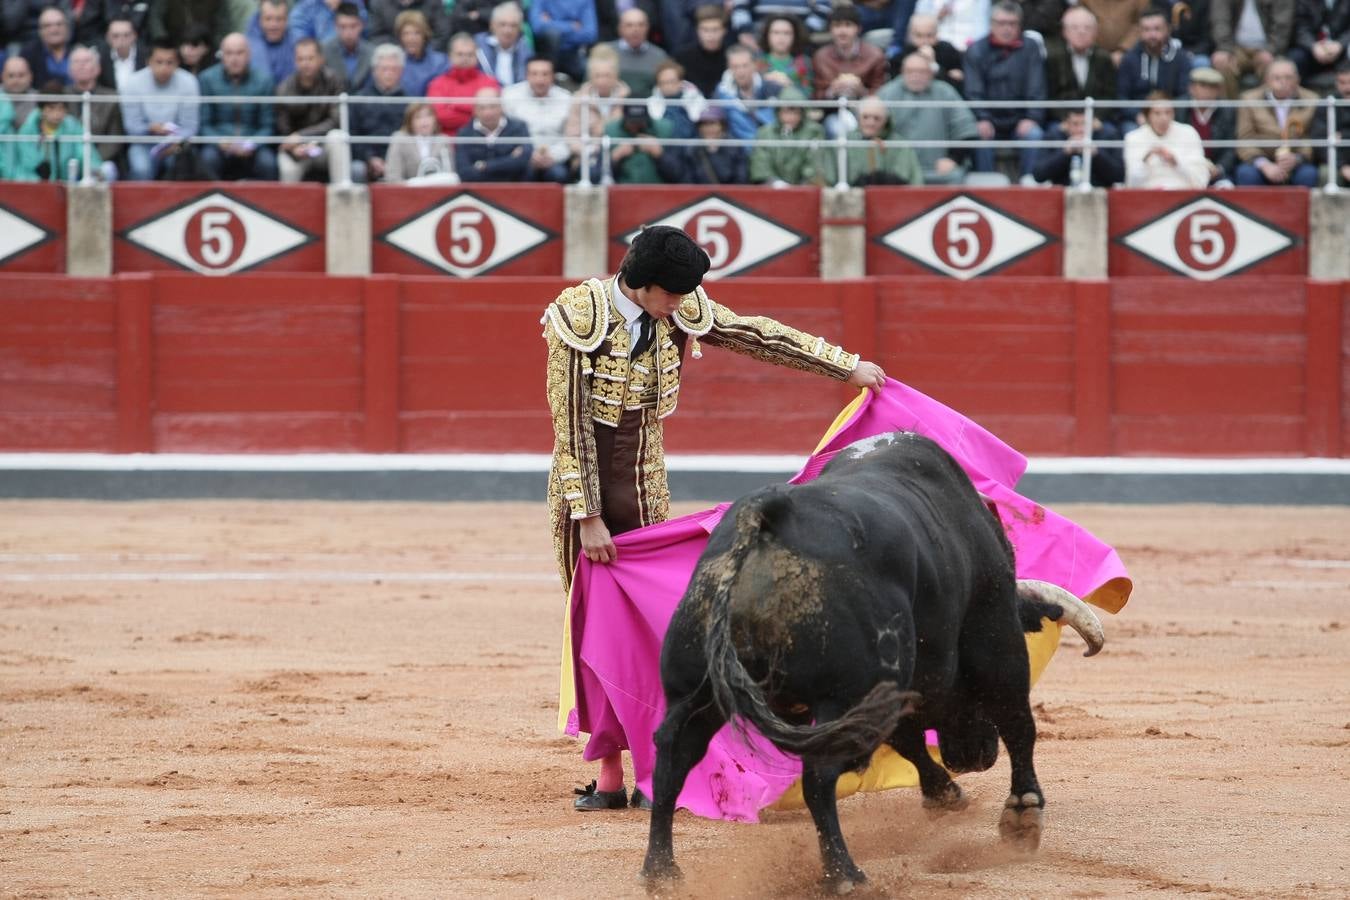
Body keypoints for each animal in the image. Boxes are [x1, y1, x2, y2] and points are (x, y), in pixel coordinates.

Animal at [645, 431, 1107, 890]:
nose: (973, 759)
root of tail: (763, 525)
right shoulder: (994, 637)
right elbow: (1016, 723)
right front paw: (1022, 815)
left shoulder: (894, 688)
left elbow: (909, 739)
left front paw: (946, 795)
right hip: (851, 696)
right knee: (818, 774)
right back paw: (845, 875)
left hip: (694, 692)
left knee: (672, 760)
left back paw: (662, 872)